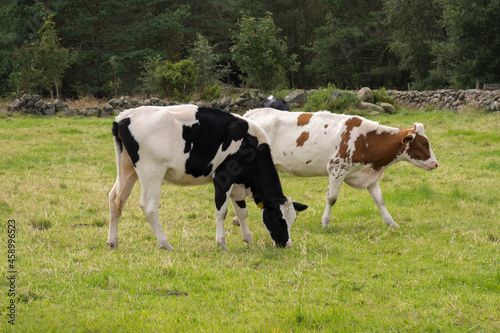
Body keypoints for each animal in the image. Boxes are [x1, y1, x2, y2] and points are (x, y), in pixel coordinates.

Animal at [230, 107, 438, 227]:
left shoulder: (368, 173)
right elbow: (332, 198)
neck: (365, 139)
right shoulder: (337, 169)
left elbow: (379, 199)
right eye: (423, 143)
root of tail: (250, 113)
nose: (435, 163)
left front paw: (391, 222)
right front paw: (326, 222)